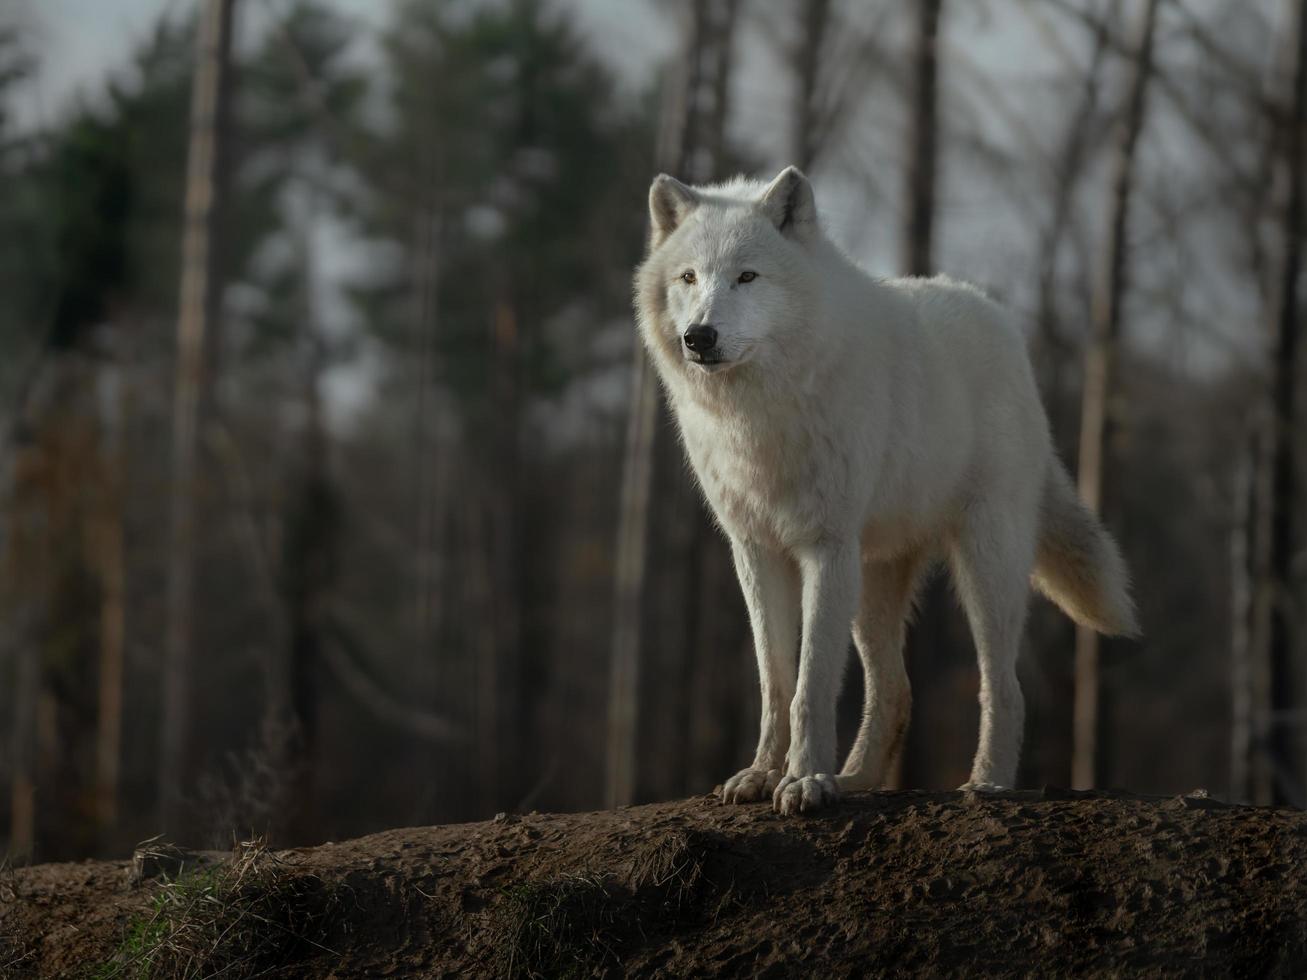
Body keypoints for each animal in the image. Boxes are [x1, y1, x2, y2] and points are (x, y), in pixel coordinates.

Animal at [629, 165, 1134, 815]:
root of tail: (997, 318)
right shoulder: (755, 550)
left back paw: (987, 781)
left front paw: (804, 782)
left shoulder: (826, 546)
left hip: (982, 569)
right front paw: (764, 776)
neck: (761, 415)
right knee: (895, 691)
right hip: (872, 585)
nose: (699, 336)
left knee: (1005, 686)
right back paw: (855, 780)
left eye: (747, 276)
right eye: (689, 277)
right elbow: (776, 682)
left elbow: (812, 683)